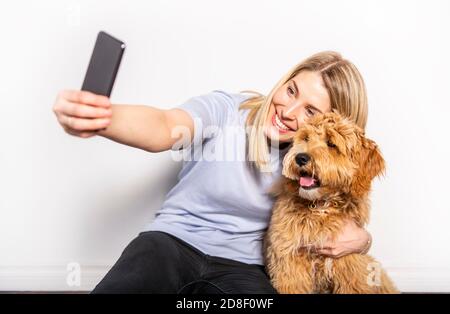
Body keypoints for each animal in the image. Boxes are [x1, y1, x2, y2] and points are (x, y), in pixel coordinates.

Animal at [266, 111, 400, 294]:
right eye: (306, 138)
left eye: (331, 143)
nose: (300, 157)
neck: (320, 206)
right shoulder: (290, 261)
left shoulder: (349, 261)